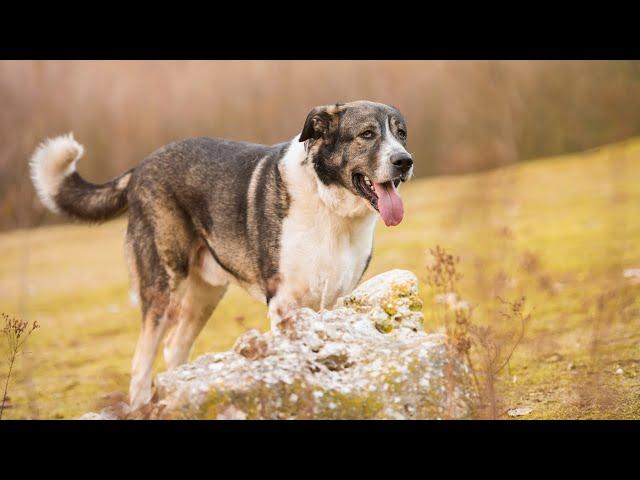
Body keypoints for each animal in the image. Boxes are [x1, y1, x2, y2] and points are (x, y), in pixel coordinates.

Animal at [28, 99, 416, 406]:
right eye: (367, 134)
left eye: (401, 133)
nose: (405, 161)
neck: (330, 206)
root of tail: (141, 166)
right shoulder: (284, 304)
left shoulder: (335, 303)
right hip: (163, 287)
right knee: (141, 364)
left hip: (206, 294)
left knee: (175, 348)